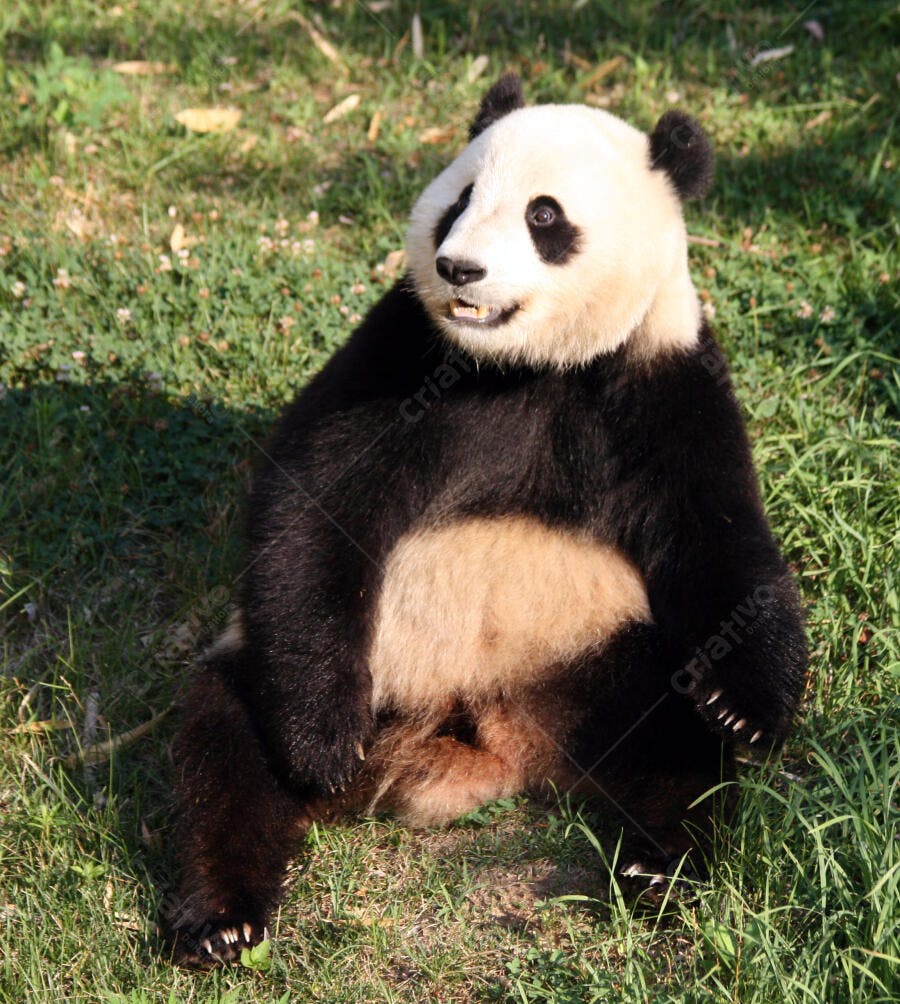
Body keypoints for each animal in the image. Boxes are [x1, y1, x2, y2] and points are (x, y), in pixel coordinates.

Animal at [166, 75, 807, 966]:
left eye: (544, 216)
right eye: (460, 199)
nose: (459, 267)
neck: (526, 367)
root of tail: (483, 734)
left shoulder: (663, 375)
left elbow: (717, 540)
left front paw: (750, 706)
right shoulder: (400, 352)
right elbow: (315, 506)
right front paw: (323, 743)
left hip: (593, 646)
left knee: (673, 733)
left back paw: (659, 866)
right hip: (352, 662)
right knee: (226, 747)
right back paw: (223, 914)